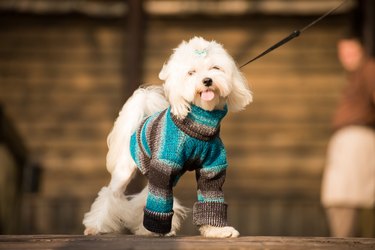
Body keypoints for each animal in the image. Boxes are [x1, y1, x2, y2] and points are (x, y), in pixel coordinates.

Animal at [82, 36, 253, 237]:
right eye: (191, 72)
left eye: (215, 68)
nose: (207, 80)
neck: (200, 123)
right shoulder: (165, 165)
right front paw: (157, 230)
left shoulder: (212, 168)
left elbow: (210, 195)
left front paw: (216, 230)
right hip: (126, 170)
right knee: (111, 194)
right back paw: (96, 226)